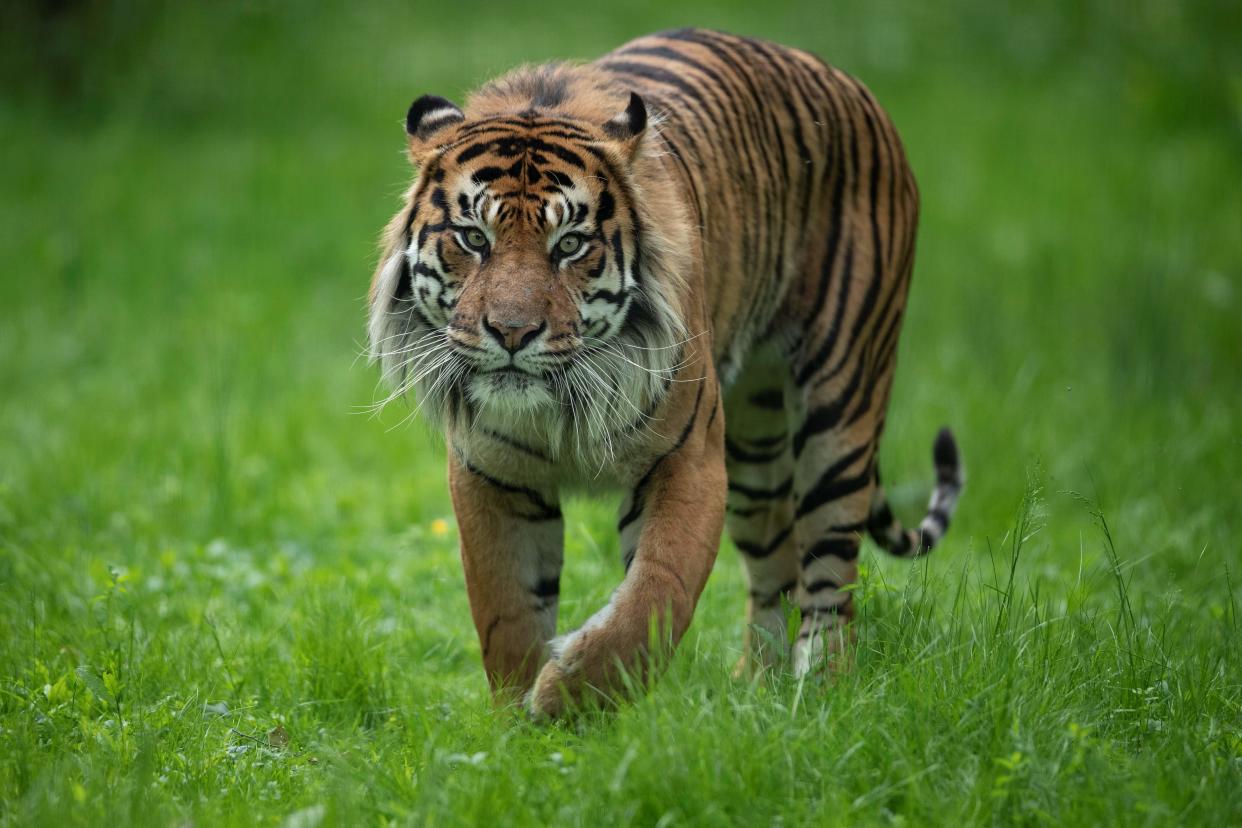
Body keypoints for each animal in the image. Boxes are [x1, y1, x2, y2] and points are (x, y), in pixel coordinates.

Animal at [362, 27, 963, 720]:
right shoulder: (493, 474)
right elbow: (506, 615)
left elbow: (654, 595)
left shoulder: (688, 459)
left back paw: (818, 696)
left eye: (569, 244)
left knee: (830, 579)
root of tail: (844, 80)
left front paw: (567, 698)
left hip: (839, 407)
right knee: (775, 567)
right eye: (473, 238)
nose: (511, 333)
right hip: (754, 447)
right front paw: (518, 723)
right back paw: (757, 695)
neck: (559, 409)